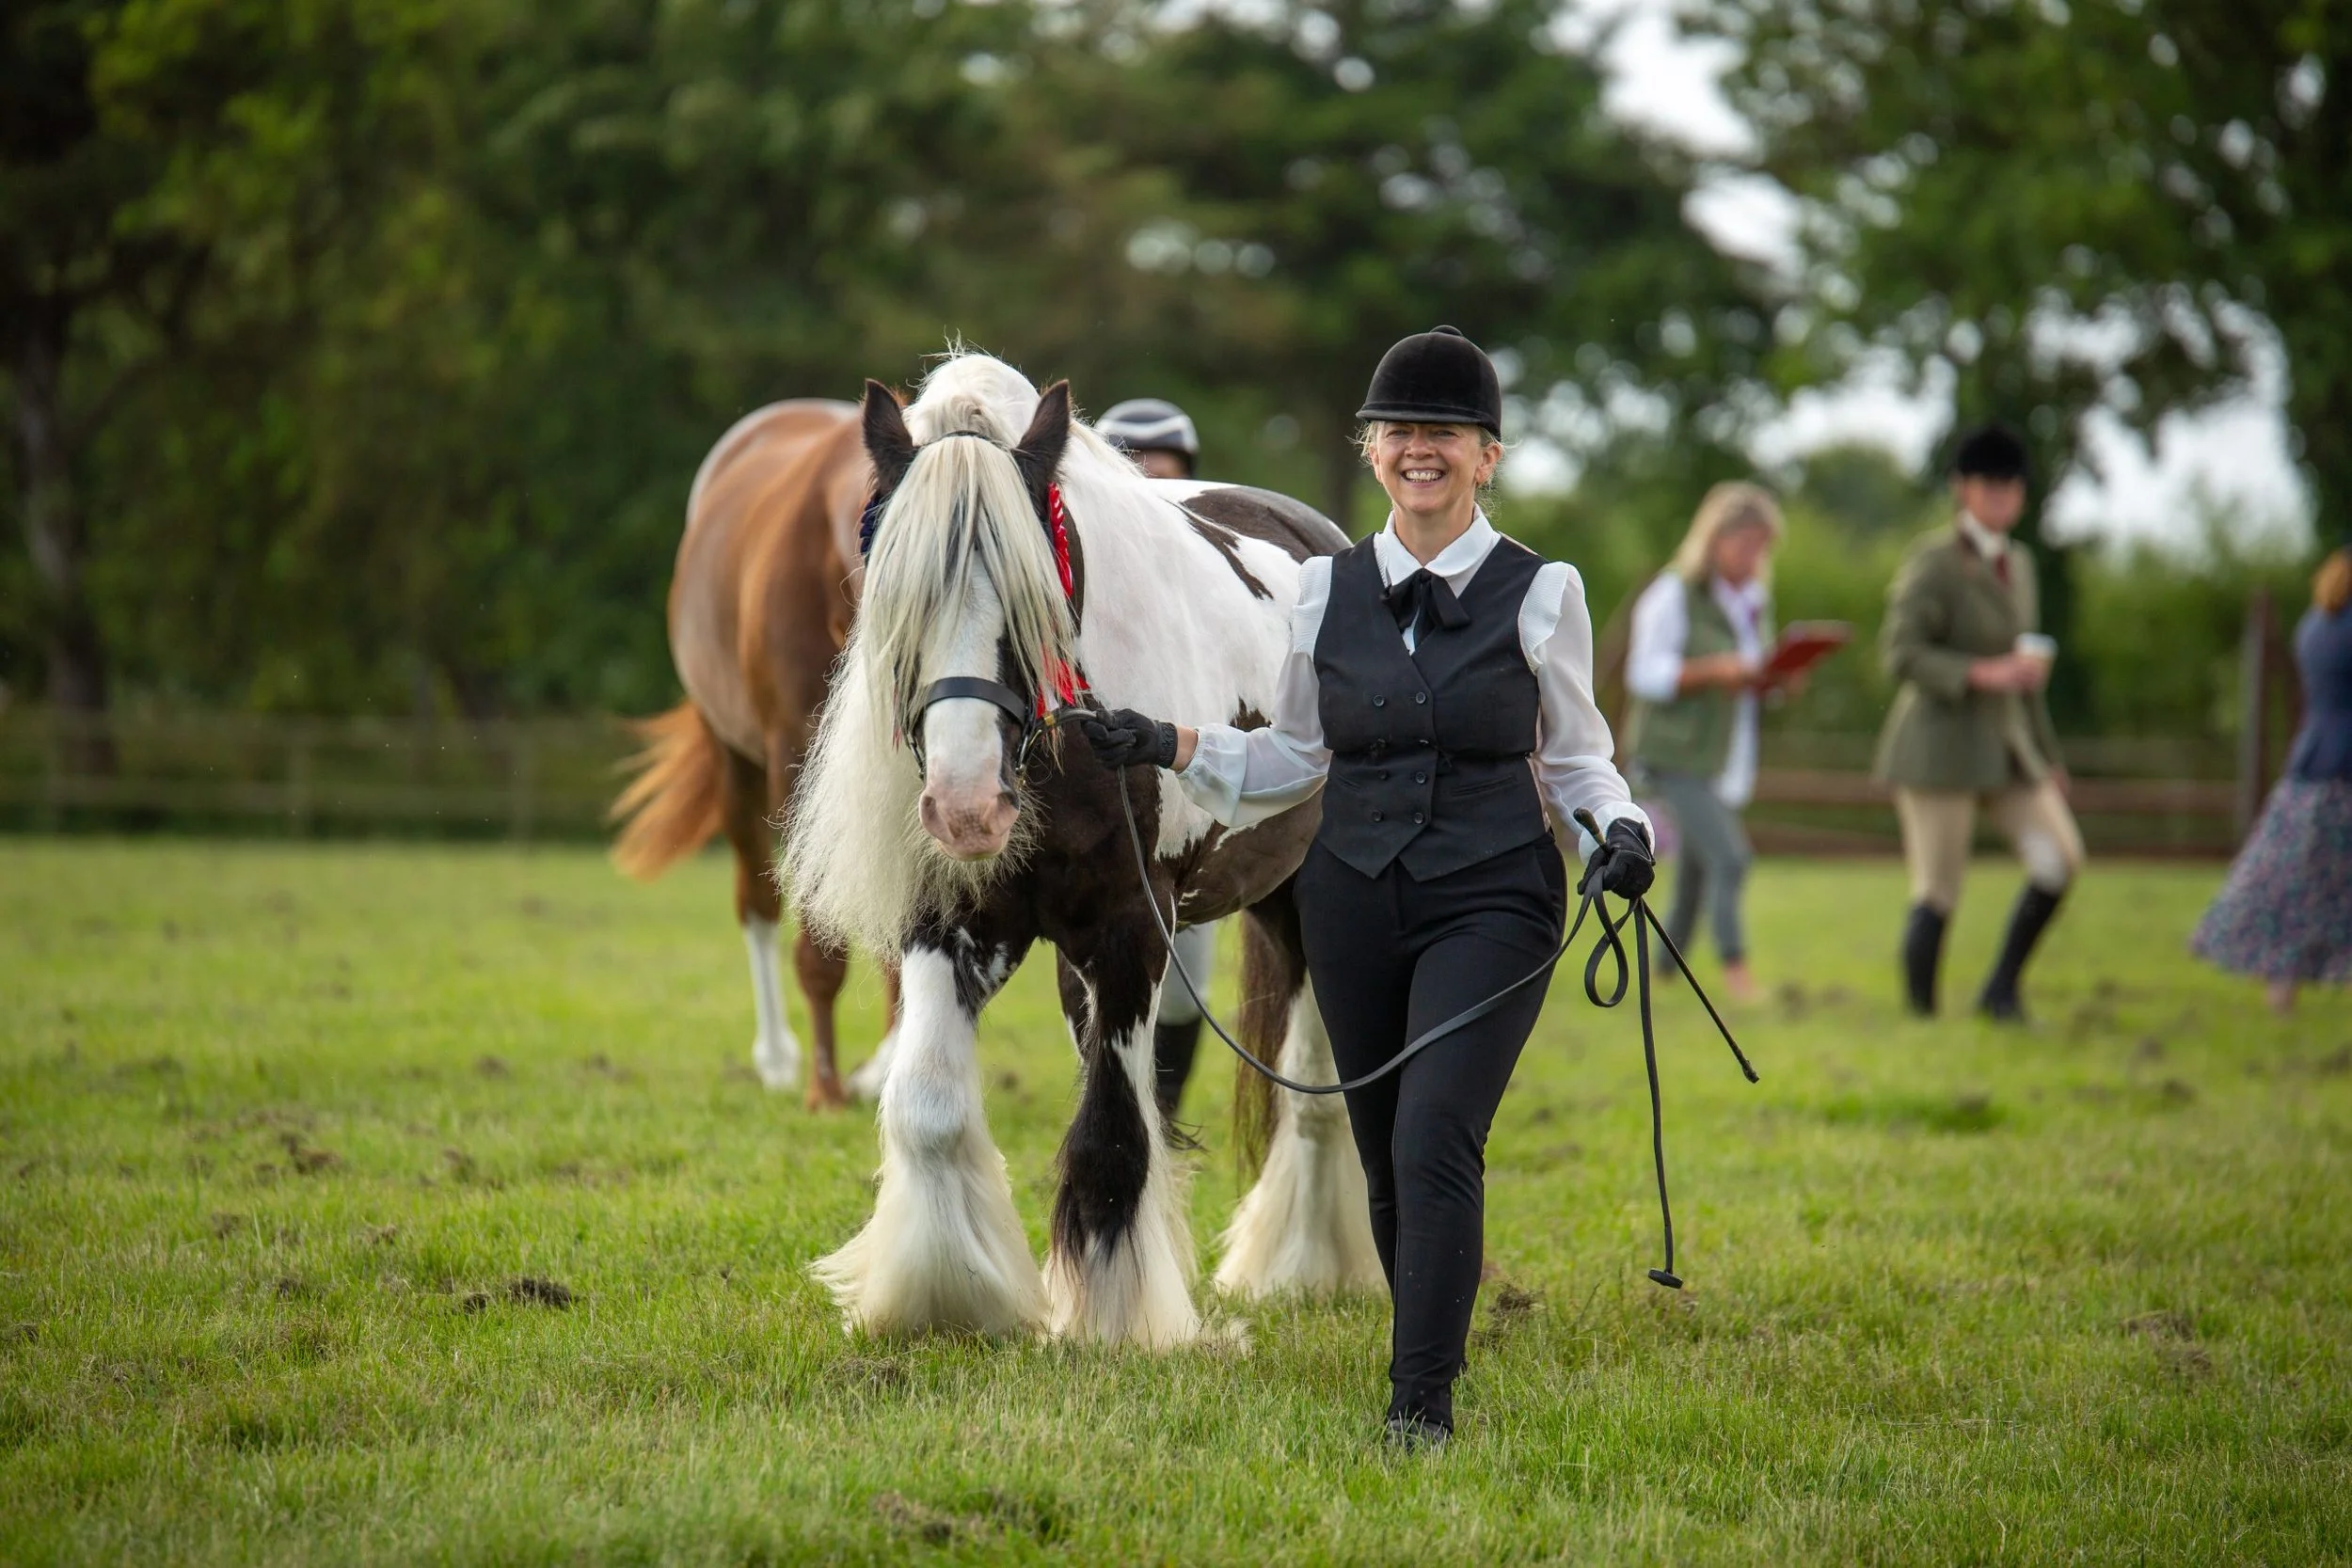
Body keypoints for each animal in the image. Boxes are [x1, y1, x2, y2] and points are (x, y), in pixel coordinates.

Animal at [608, 399, 899, 1111]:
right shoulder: (794, 760)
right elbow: (819, 944)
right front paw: (825, 1088)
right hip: (735, 766)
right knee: (759, 905)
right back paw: (777, 1058)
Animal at [786, 352, 1384, 1345]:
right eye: (897, 593)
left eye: (1033, 599)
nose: (967, 808)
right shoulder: (955, 927)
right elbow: (928, 1105)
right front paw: (949, 1300)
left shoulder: (1129, 928)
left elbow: (1111, 1133)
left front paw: (1117, 1321)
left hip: (1298, 906)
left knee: (1311, 1092)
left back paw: (1308, 1267)